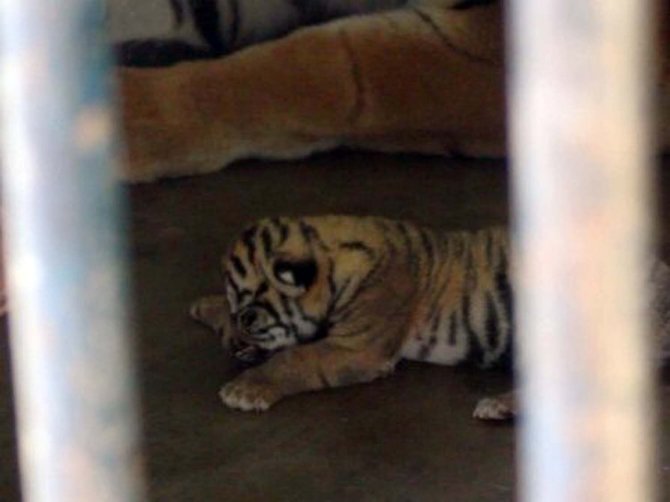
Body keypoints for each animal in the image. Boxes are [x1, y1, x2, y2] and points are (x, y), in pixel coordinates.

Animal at [189, 216, 670, 420]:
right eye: (238, 313)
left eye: (251, 317)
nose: (233, 347)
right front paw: (204, 307)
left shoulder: (357, 348)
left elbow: (295, 358)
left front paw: (245, 389)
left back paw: (498, 406)